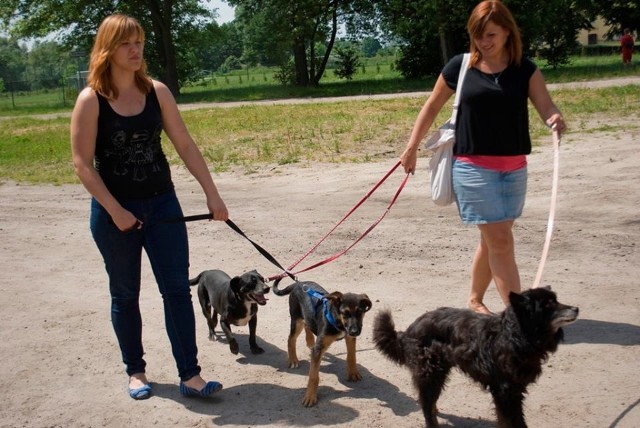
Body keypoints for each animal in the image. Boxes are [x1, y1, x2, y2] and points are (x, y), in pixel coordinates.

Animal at [272, 278, 372, 408]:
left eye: (360, 312)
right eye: (345, 313)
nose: (355, 332)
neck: (338, 320)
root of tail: (299, 283)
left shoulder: (349, 338)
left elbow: (351, 356)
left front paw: (353, 373)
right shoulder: (319, 349)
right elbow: (313, 376)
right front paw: (310, 396)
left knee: (308, 324)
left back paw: (310, 340)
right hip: (296, 319)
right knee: (291, 339)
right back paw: (293, 359)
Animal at [372, 288, 576, 428]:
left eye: (556, 300)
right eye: (548, 305)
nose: (576, 308)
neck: (513, 335)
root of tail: (409, 330)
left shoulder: (514, 389)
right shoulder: (505, 390)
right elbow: (512, 420)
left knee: (427, 401)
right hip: (431, 371)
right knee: (426, 404)